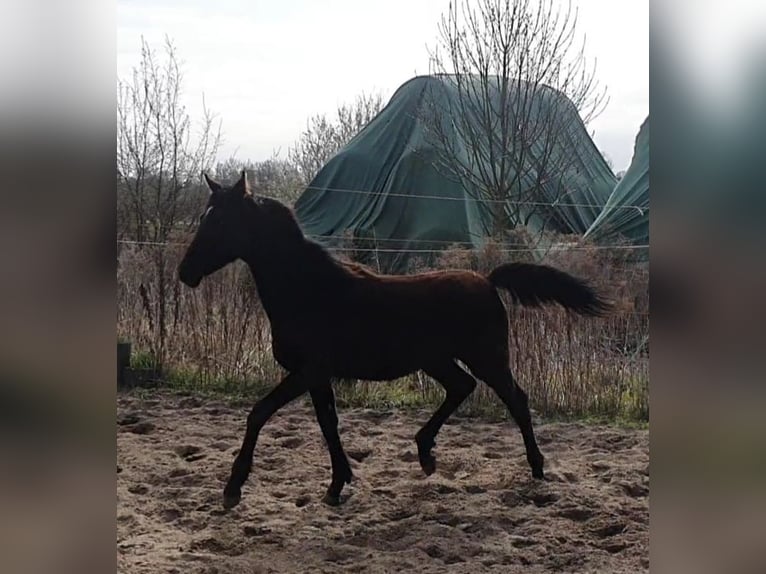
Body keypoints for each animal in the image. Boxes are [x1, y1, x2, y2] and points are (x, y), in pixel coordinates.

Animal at [178, 170, 610, 510]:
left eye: (221, 222)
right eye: (203, 217)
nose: (185, 272)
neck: (309, 290)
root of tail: (487, 280)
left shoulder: (308, 371)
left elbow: (260, 413)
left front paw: (233, 488)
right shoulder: (318, 376)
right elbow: (327, 423)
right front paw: (337, 484)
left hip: (487, 358)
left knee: (515, 400)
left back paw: (536, 467)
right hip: (438, 360)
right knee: (462, 387)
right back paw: (425, 453)